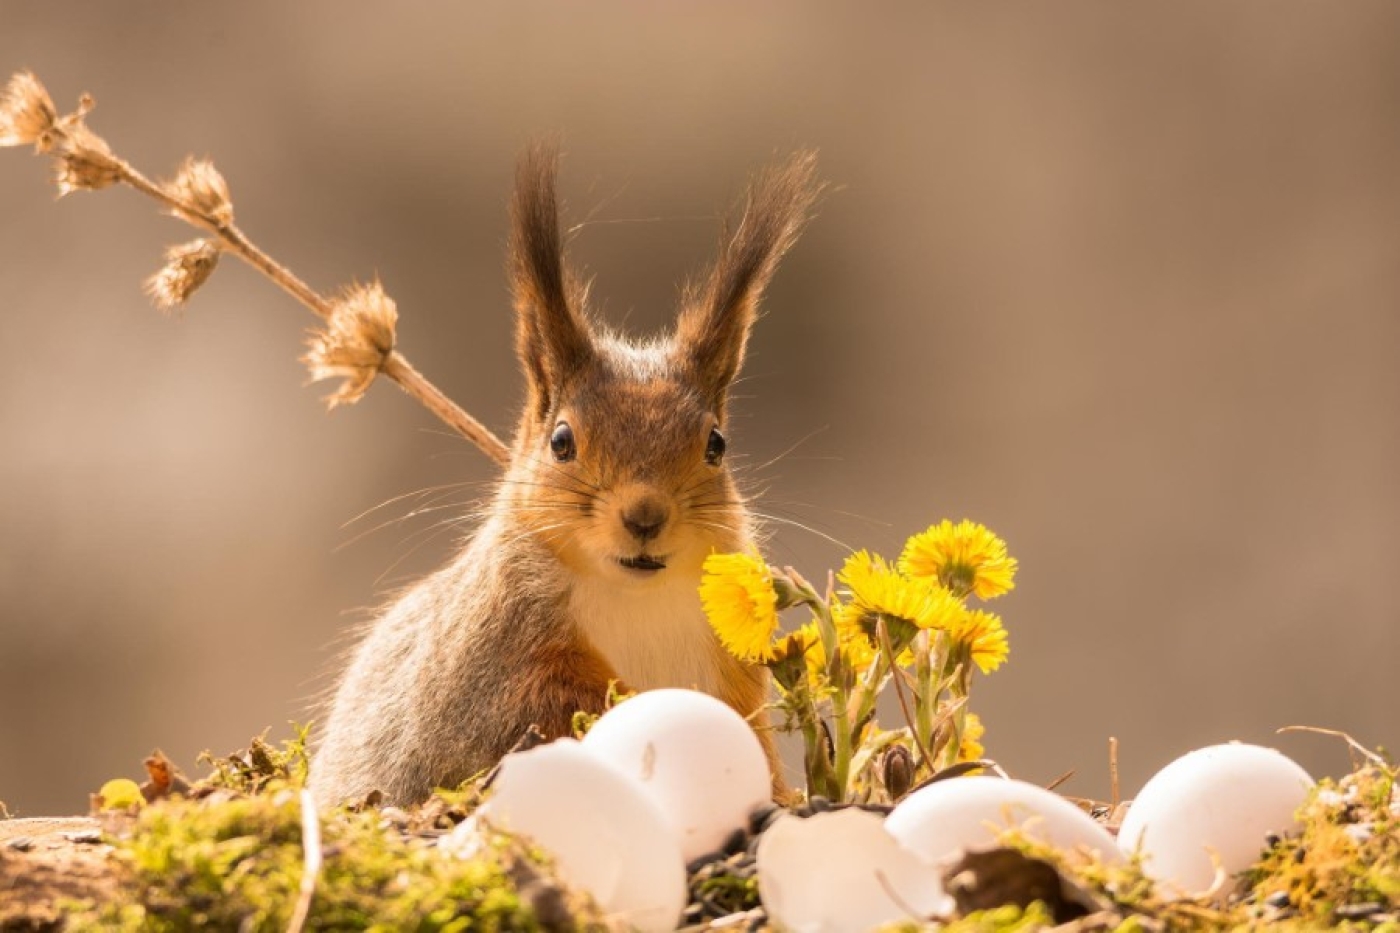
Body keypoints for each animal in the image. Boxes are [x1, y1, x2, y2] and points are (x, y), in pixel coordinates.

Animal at [313, 149, 817, 801]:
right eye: (561, 441)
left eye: (716, 444)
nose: (645, 517)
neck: (636, 596)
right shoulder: (491, 668)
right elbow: (541, 714)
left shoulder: (734, 666)